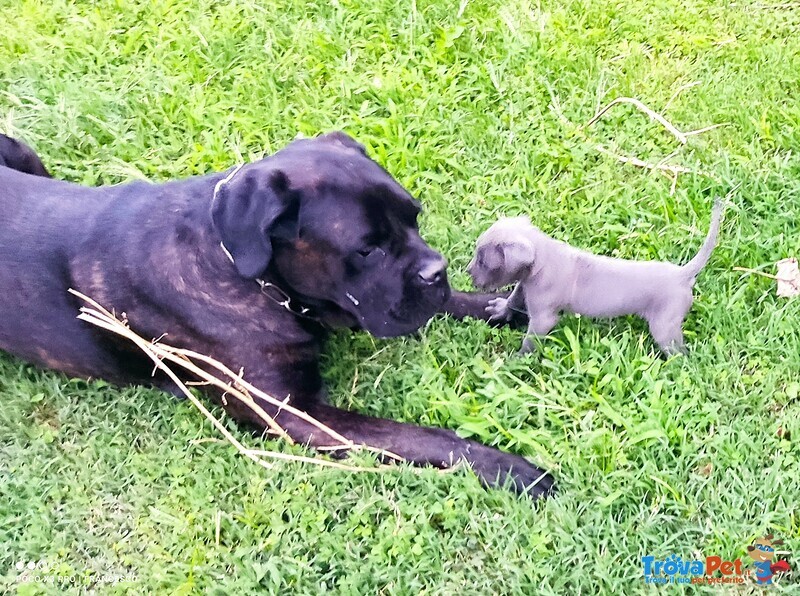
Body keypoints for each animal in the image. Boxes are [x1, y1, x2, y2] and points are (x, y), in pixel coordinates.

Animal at [0, 133, 552, 496]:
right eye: (367, 249)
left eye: (414, 216)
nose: (436, 271)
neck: (239, 263)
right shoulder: (295, 414)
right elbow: (422, 437)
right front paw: (511, 469)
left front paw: (512, 308)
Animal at [468, 203, 724, 356]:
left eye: (483, 262)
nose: (468, 271)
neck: (542, 259)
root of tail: (682, 274)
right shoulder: (524, 286)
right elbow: (514, 299)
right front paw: (501, 309)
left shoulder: (543, 318)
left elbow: (531, 339)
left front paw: (518, 360)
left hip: (665, 326)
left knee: (678, 352)